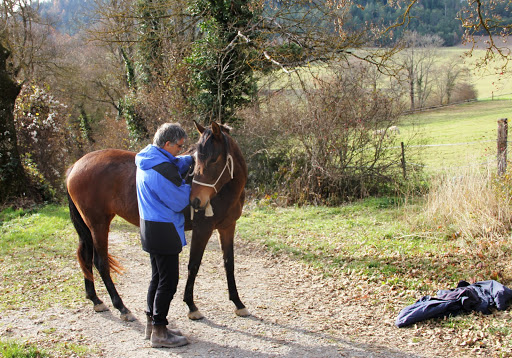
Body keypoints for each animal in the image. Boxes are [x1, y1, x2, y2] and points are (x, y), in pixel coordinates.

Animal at [66, 121, 250, 322]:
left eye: (214, 159)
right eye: (197, 158)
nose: (195, 201)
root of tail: (75, 166)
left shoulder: (227, 227)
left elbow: (229, 264)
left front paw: (238, 303)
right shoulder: (202, 230)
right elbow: (193, 265)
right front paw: (191, 306)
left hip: (89, 227)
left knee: (86, 257)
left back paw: (95, 300)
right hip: (98, 224)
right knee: (100, 262)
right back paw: (121, 307)